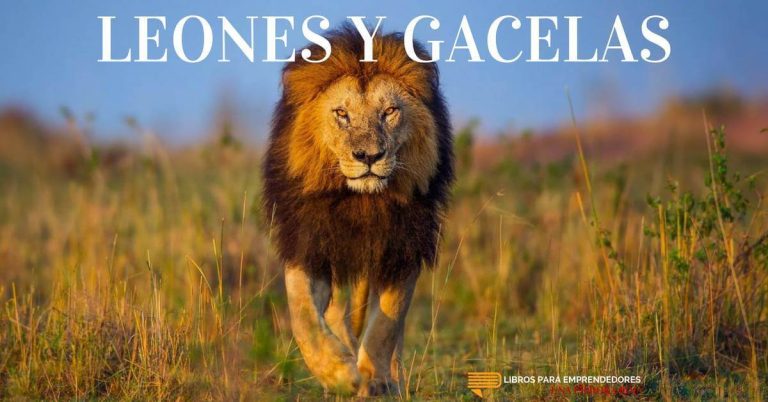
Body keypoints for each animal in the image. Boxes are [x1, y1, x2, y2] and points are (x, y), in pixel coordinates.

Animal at [262, 25, 454, 396]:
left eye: (389, 111)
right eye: (342, 113)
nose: (369, 156)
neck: (361, 202)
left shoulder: (402, 246)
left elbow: (386, 324)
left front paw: (374, 377)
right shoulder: (310, 244)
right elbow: (303, 316)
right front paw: (339, 373)